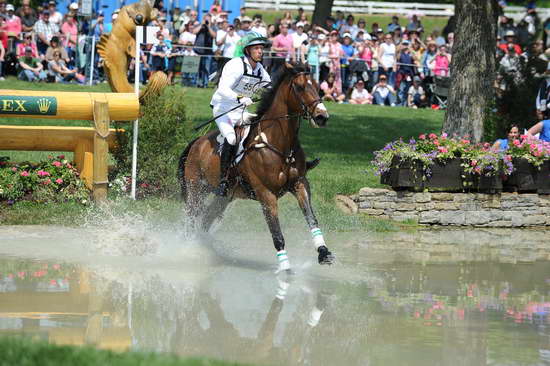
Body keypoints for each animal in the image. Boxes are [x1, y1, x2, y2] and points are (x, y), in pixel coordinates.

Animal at [181, 60, 334, 272]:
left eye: (318, 87)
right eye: (300, 87)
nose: (321, 117)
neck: (279, 143)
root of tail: (197, 142)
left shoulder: (300, 184)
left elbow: (311, 218)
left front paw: (323, 252)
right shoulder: (266, 194)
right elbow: (276, 233)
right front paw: (285, 269)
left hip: (224, 197)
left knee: (205, 220)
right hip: (196, 190)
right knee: (190, 217)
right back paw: (189, 249)